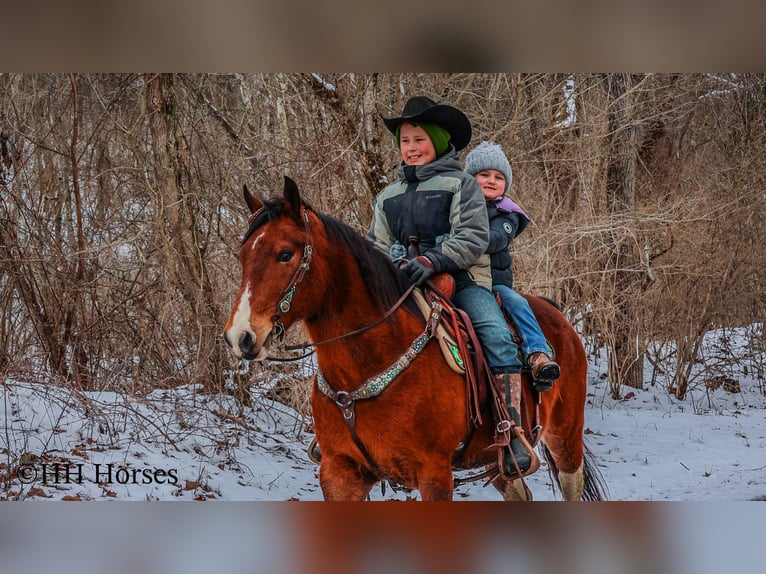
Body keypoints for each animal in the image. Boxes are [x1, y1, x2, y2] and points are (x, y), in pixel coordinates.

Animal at [225, 178, 608, 502]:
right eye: (242, 256)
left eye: (285, 254)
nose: (239, 335)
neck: (366, 366)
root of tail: (556, 314)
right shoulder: (339, 473)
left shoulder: (434, 474)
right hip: (496, 461)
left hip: (565, 438)